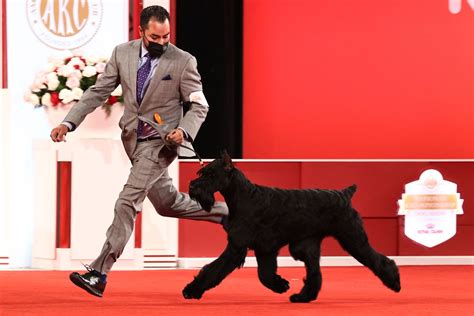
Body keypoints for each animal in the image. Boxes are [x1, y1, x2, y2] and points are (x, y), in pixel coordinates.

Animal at [182, 152, 400, 302]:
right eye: (202, 172)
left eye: (211, 174)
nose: (192, 187)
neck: (244, 196)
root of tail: (345, 194)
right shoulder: (265, 249)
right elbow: (264, 274)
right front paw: (280, 285)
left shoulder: (237, 247)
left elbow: (213, 269)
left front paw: (192, 290)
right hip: (308, 246)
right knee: (314, 273)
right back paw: (303, 297)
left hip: (353, 239)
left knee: (380, 260)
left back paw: (395, 282)